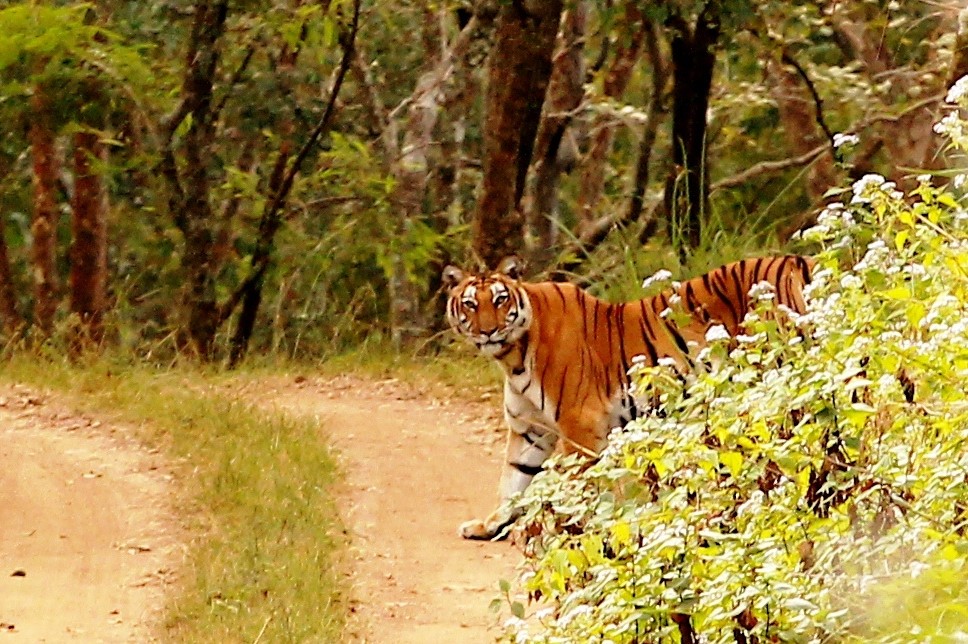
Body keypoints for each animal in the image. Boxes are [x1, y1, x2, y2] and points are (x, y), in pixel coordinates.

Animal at [446, 253, 816, 540]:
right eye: (470, 304)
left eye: (500, 300)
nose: (488, 331)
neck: (512, 356)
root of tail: (800, 261)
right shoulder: (529, 429)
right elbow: (512, 481)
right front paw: (488, 526)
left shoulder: (579, 422)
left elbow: (580, 482)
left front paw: (576, 528)